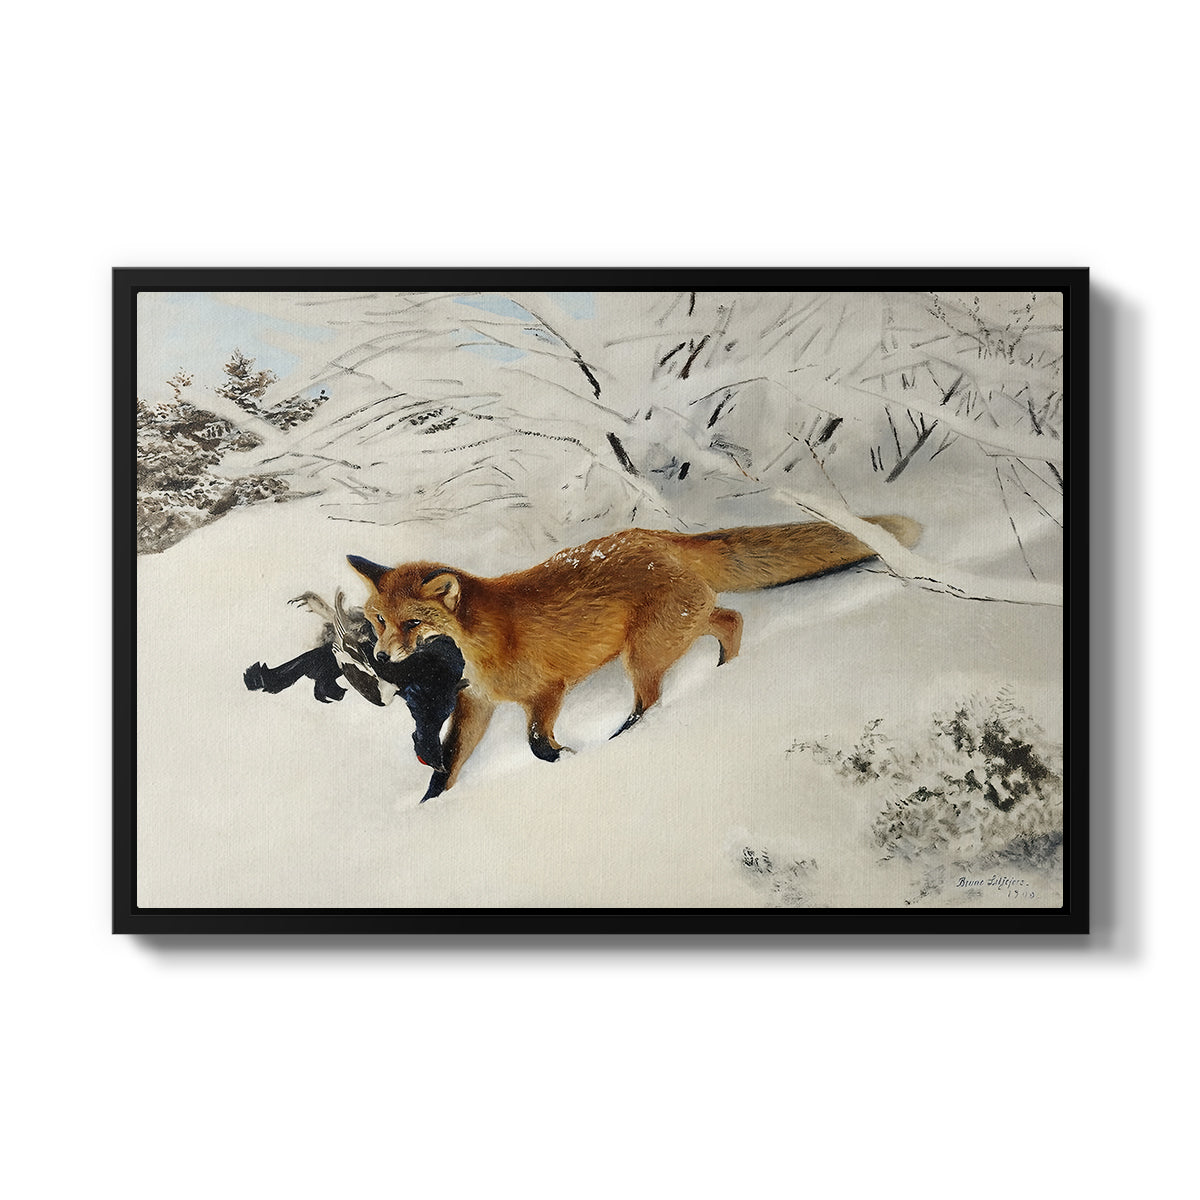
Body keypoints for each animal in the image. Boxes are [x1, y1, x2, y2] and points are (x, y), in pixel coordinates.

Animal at [348, 514, 921, 800]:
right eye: (378, 620)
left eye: (412, 624)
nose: (381, 655)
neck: (482, 643)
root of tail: (661, 537)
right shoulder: (477, 704)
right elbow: (448, 765)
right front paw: (430, 808)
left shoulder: (547, 691)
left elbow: (536, 744)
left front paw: (568, 759)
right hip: (675, 631)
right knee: (731, 619)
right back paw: (724, 672)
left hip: (643, 654)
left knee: (653, 699)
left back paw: (628, 736)